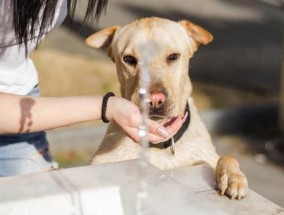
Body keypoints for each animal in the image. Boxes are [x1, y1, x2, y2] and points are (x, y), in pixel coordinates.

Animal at [85, 17, 247, 200]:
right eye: (129, 59)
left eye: (173, 56)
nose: (154, 100)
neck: (159, 147)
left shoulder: (207, 157)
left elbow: (227, 157)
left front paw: (233, 176)